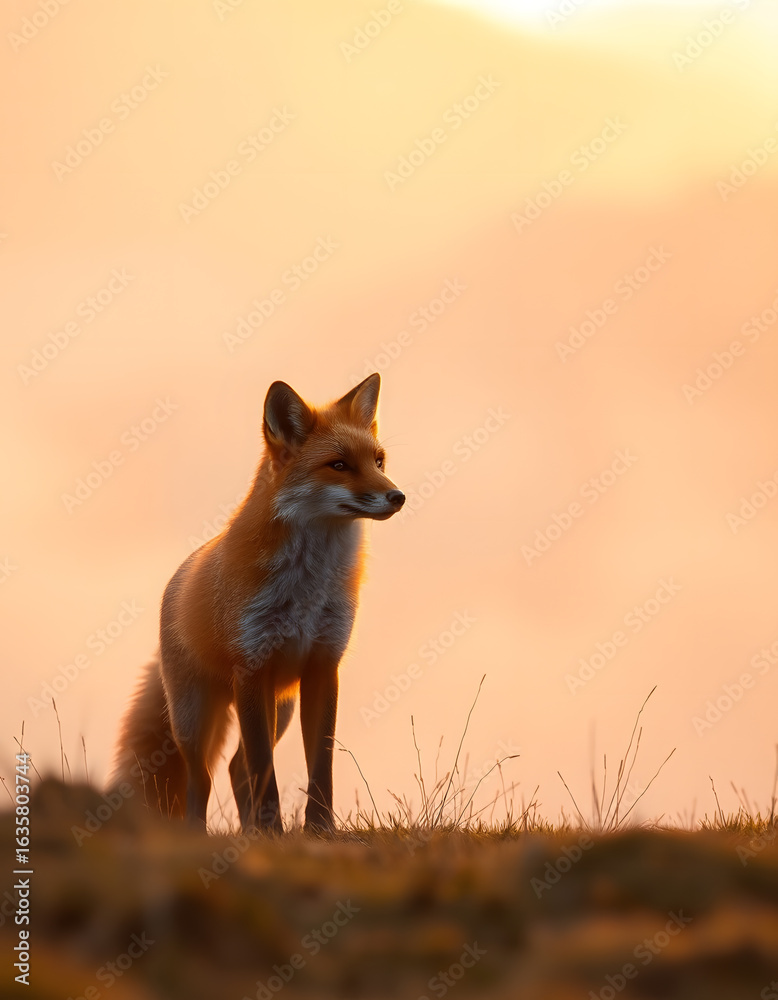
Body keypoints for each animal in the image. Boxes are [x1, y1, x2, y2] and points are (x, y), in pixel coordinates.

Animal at [110, 373, 404, 832]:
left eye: (378, 461)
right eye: (339, 465)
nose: (398, 496)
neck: (308, 588)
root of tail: (177, 580)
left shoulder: (323, 666)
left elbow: (319, 764)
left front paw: (318, 830)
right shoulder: (252, 668)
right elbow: (264, 768)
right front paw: (274, 832)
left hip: (280, 705)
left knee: (235, 767)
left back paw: (249, 830)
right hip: (194, 718)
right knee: (202, 777)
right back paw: (198, 834)